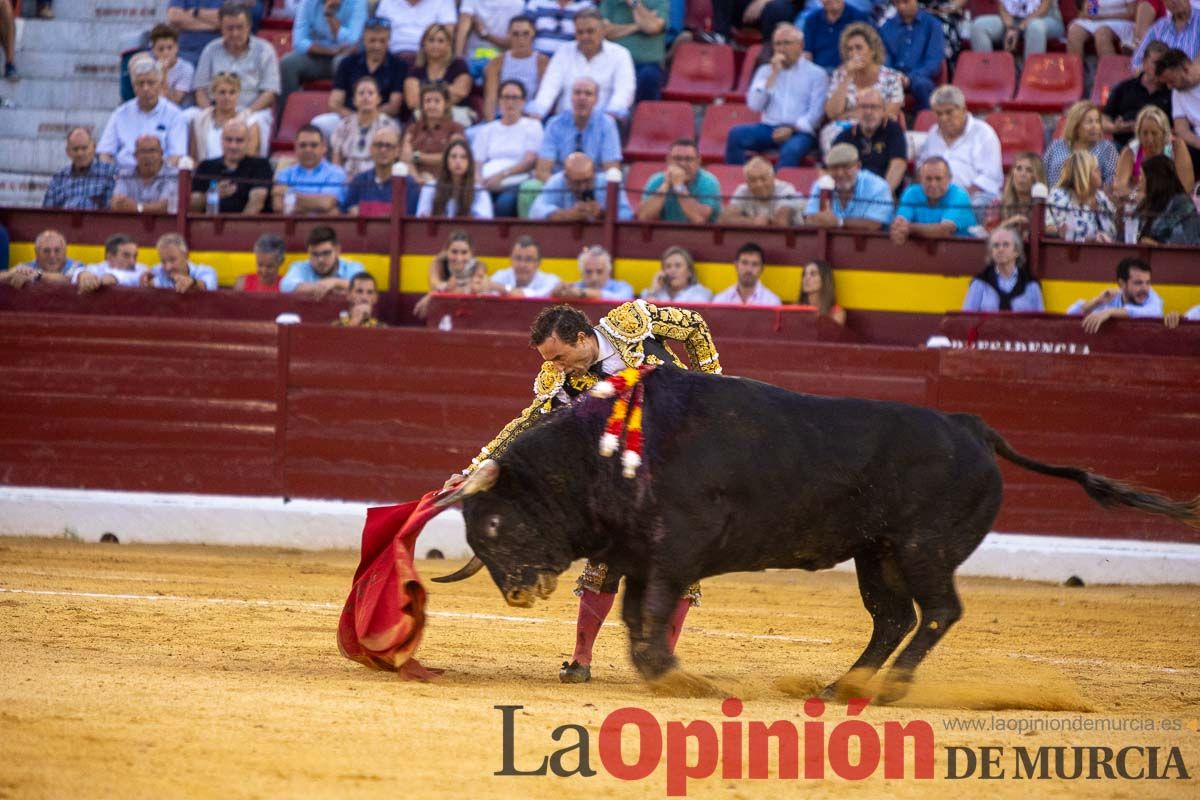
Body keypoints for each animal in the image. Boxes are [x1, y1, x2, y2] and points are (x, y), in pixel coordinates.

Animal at [434, 369, 1200, 700]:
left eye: (495, 522)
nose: (519, 594)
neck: (608, 451)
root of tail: (970, 426)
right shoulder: (641, 556)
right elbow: (633, 619)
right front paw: (666, 674)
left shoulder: (676, 550)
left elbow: (647, 616)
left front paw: (681, 679)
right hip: (876, 555)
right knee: (894, 617)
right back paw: (842, 685)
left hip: (923, 549)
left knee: (939, 611)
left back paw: (888, 690)